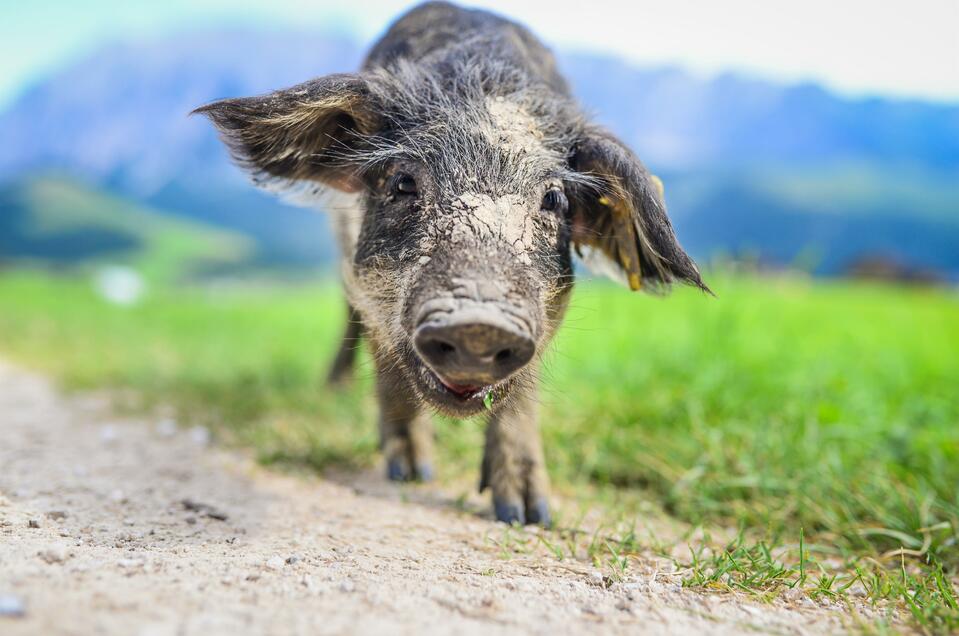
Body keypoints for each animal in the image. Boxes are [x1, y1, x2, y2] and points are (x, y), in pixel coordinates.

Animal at [195, 1, 708, 528]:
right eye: (402, 182)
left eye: (553, 199)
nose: (478, 322)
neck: (482, 87)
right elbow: (386, 357)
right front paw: (411, 475)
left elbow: (521, 391)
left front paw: (527, 515)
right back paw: (338, 395)